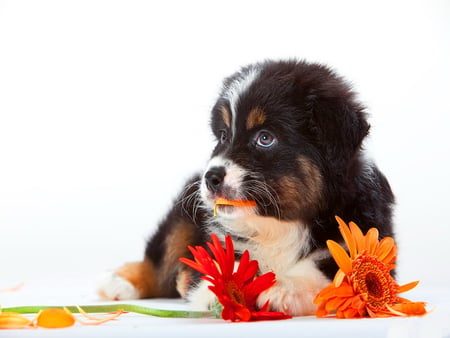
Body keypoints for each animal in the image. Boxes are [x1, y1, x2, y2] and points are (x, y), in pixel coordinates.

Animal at [97, 59, 394, 316]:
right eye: (223, 135)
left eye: (265, 138)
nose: (210, 177)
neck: (280, 224)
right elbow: (229, 265)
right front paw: (217, 291)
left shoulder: (361, 239)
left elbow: (327, 275)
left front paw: (282, 290)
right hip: (181, 215)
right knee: (160, 258)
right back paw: (119, 283)